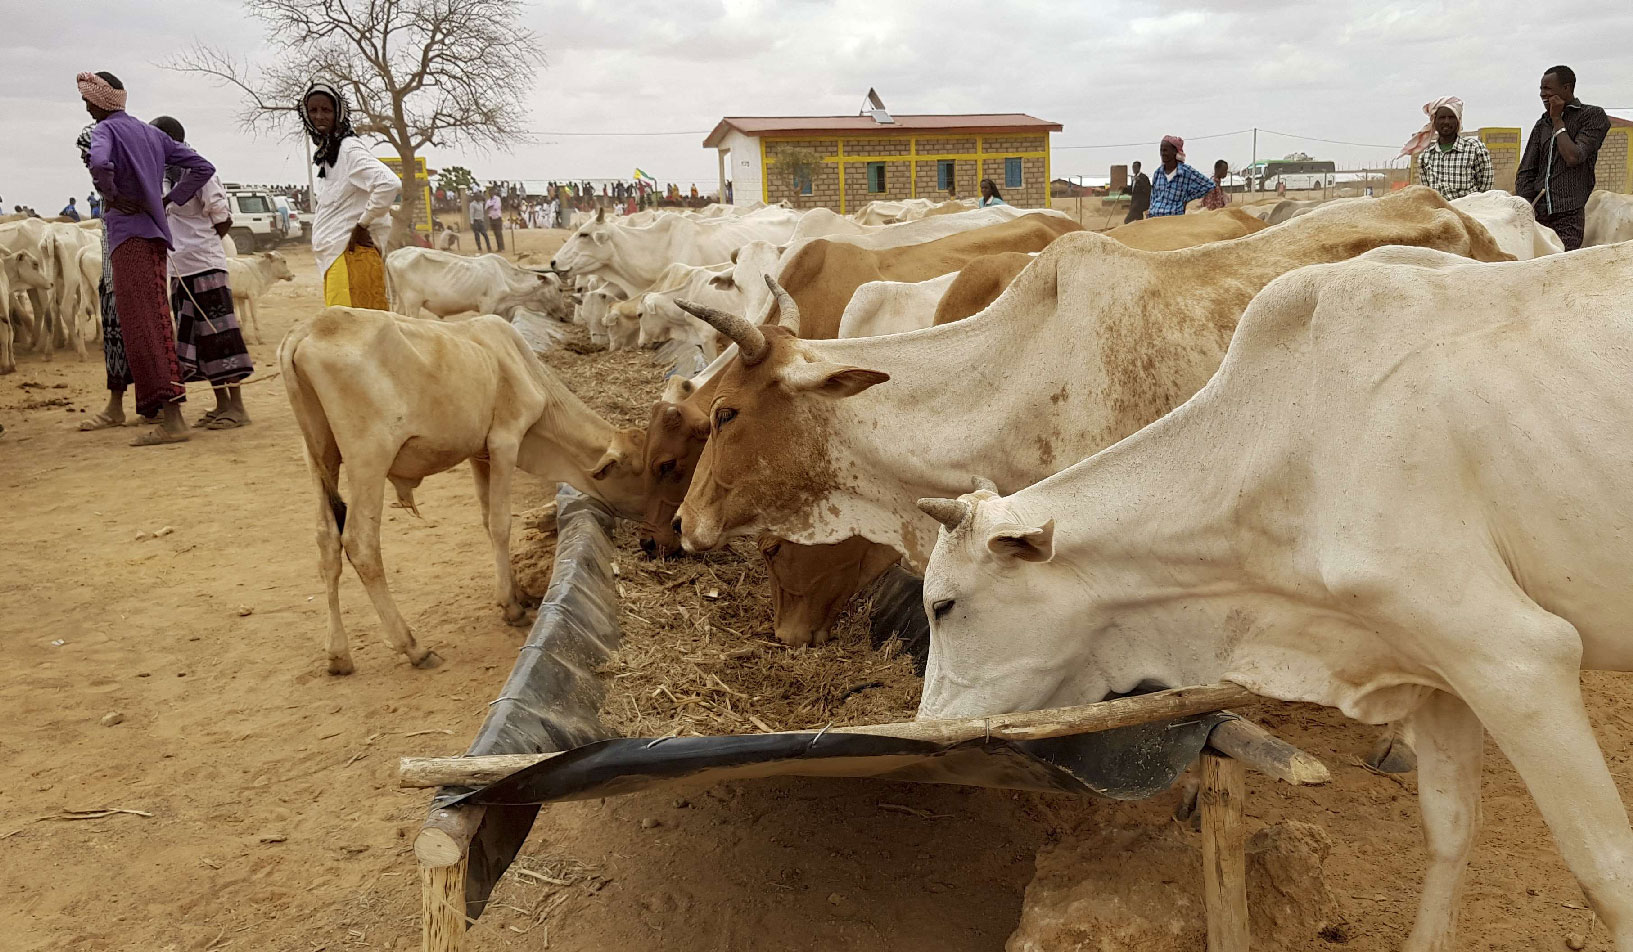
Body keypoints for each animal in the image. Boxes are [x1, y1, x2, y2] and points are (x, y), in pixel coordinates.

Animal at [383, 248, 568, 321]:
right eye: (560, 289)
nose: (564, 317)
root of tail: (393, 254)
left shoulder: (502, 311)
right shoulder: (486, 306)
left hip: (402, 300)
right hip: (412, 303)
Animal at [921, 243, 1633, 952]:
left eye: (943, 606)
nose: (927, 727)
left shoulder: (1516, 657)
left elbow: (1608, 873)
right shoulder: (1435, 666)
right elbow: (1451, 827)